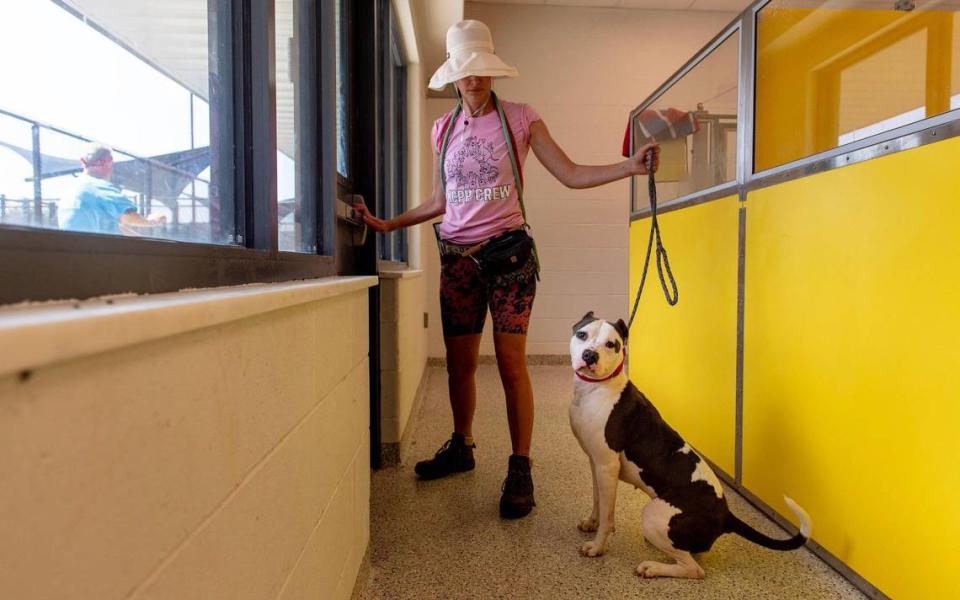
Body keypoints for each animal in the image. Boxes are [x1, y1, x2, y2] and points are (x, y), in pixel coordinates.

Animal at [568, 312, 812, 580]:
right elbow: (598, 502)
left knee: (693, 569)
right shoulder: (597, 463)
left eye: (611, 344)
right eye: (582, 334)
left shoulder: (607, 466)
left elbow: (608, 515)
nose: (590, 356)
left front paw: (597, 547)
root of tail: (726, 515)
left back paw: (652, 567)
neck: (597, 389)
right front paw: (591, 522)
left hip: (653, 514)